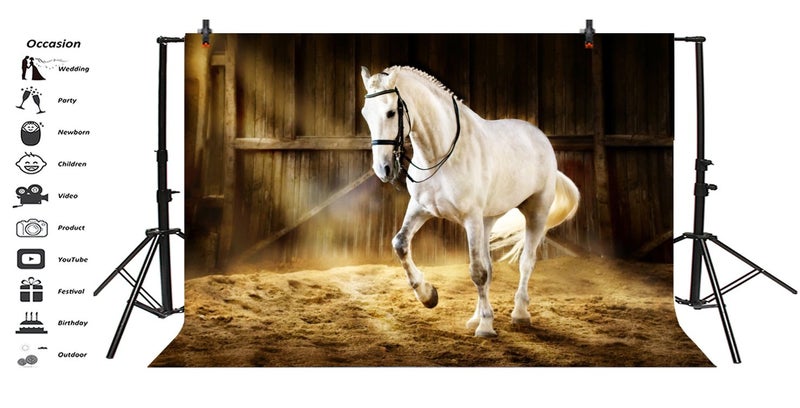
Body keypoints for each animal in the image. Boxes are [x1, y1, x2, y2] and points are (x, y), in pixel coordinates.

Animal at [360, 65, 580, 337]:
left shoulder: (471, 219)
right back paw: (476, 318)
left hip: (535, 212)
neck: (441, 155)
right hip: (488, 220)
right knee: (490, 266)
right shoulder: (421, 209)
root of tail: (540, 136)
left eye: (391, 112)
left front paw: (486, 327)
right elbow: (400, 244)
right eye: (365, 114)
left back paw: (519, 314)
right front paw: (428, 296)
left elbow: (477, 272)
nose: (383, 169)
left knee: (526, 263)